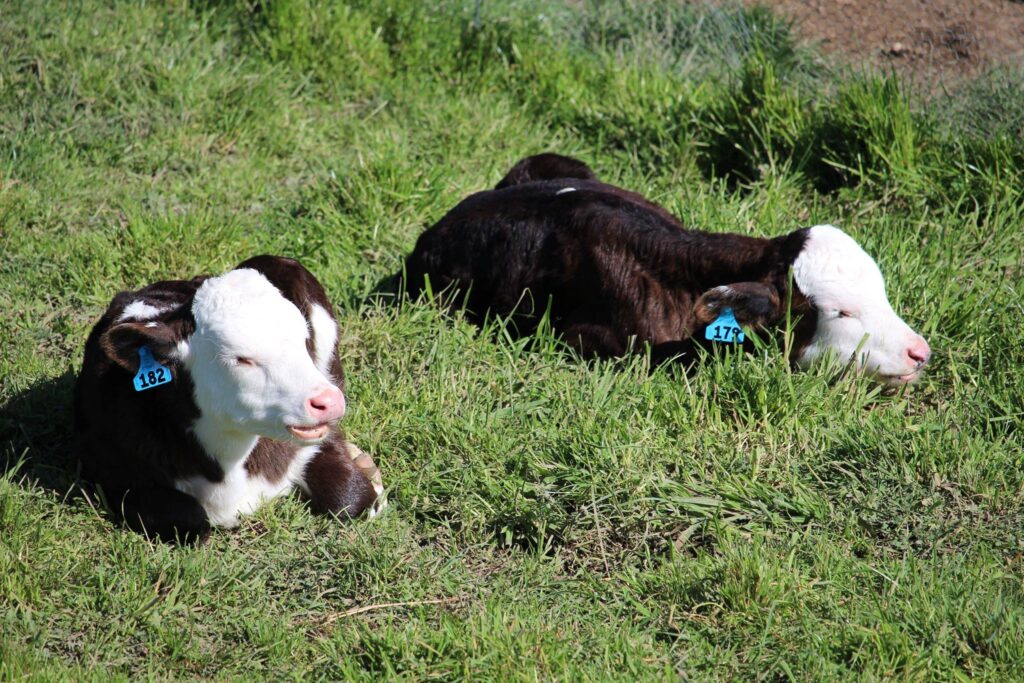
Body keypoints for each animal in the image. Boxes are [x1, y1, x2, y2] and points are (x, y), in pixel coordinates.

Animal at [74, 255, 385, 544]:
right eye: (241, 359)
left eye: (303, 340)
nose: (329, 401)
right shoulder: (110, 465)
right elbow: (188, 520)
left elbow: (353, 498)